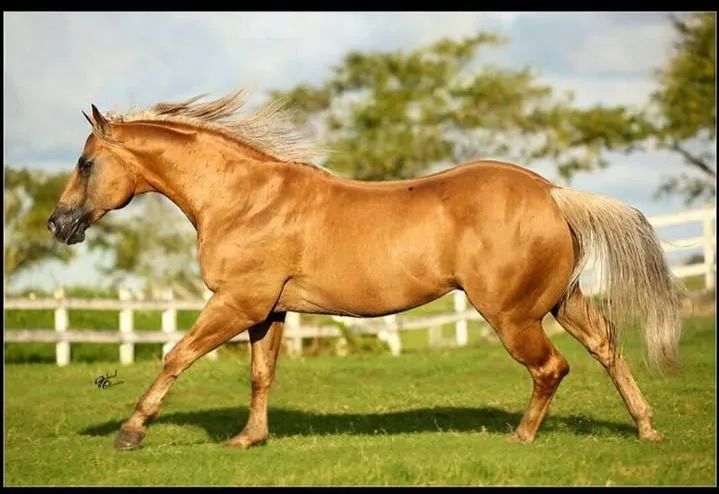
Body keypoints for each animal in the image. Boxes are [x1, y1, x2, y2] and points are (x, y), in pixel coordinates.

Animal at [47, 89, 682, 451]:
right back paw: (648, 428)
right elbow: (260, 375)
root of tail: (551, 192)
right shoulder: (268, 311)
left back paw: (521, 437)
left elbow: (175, 355)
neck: (246, 199)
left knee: (552, 367)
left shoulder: (235, 303)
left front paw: (131, 432)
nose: (58, 224)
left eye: (84, 162)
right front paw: (249, 440)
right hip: (559, 301)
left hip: (512, 314)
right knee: (607, 348)